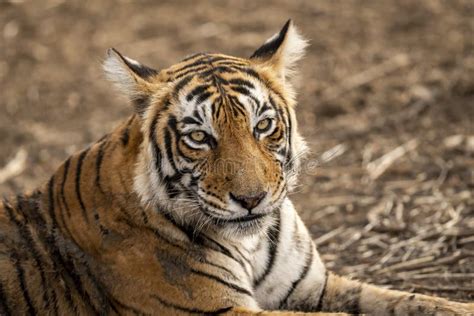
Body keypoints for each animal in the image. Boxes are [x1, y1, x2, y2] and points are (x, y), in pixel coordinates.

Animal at [0, 20, 474, 316]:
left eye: (262, 126)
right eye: (199, 138)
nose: (251, 199)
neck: (252, 245)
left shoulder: (312, 287)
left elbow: (408, 300)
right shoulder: (218, 310)